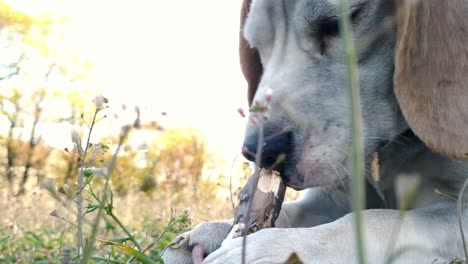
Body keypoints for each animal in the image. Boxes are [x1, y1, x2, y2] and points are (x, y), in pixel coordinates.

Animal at [163, 0, 468, 262]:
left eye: (338, 23)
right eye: (256, 44)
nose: (260, 150)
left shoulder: (458, 211)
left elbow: (376, 219)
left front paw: (272, 249)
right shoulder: (332, 197)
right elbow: (292, 212)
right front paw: (216, 230)